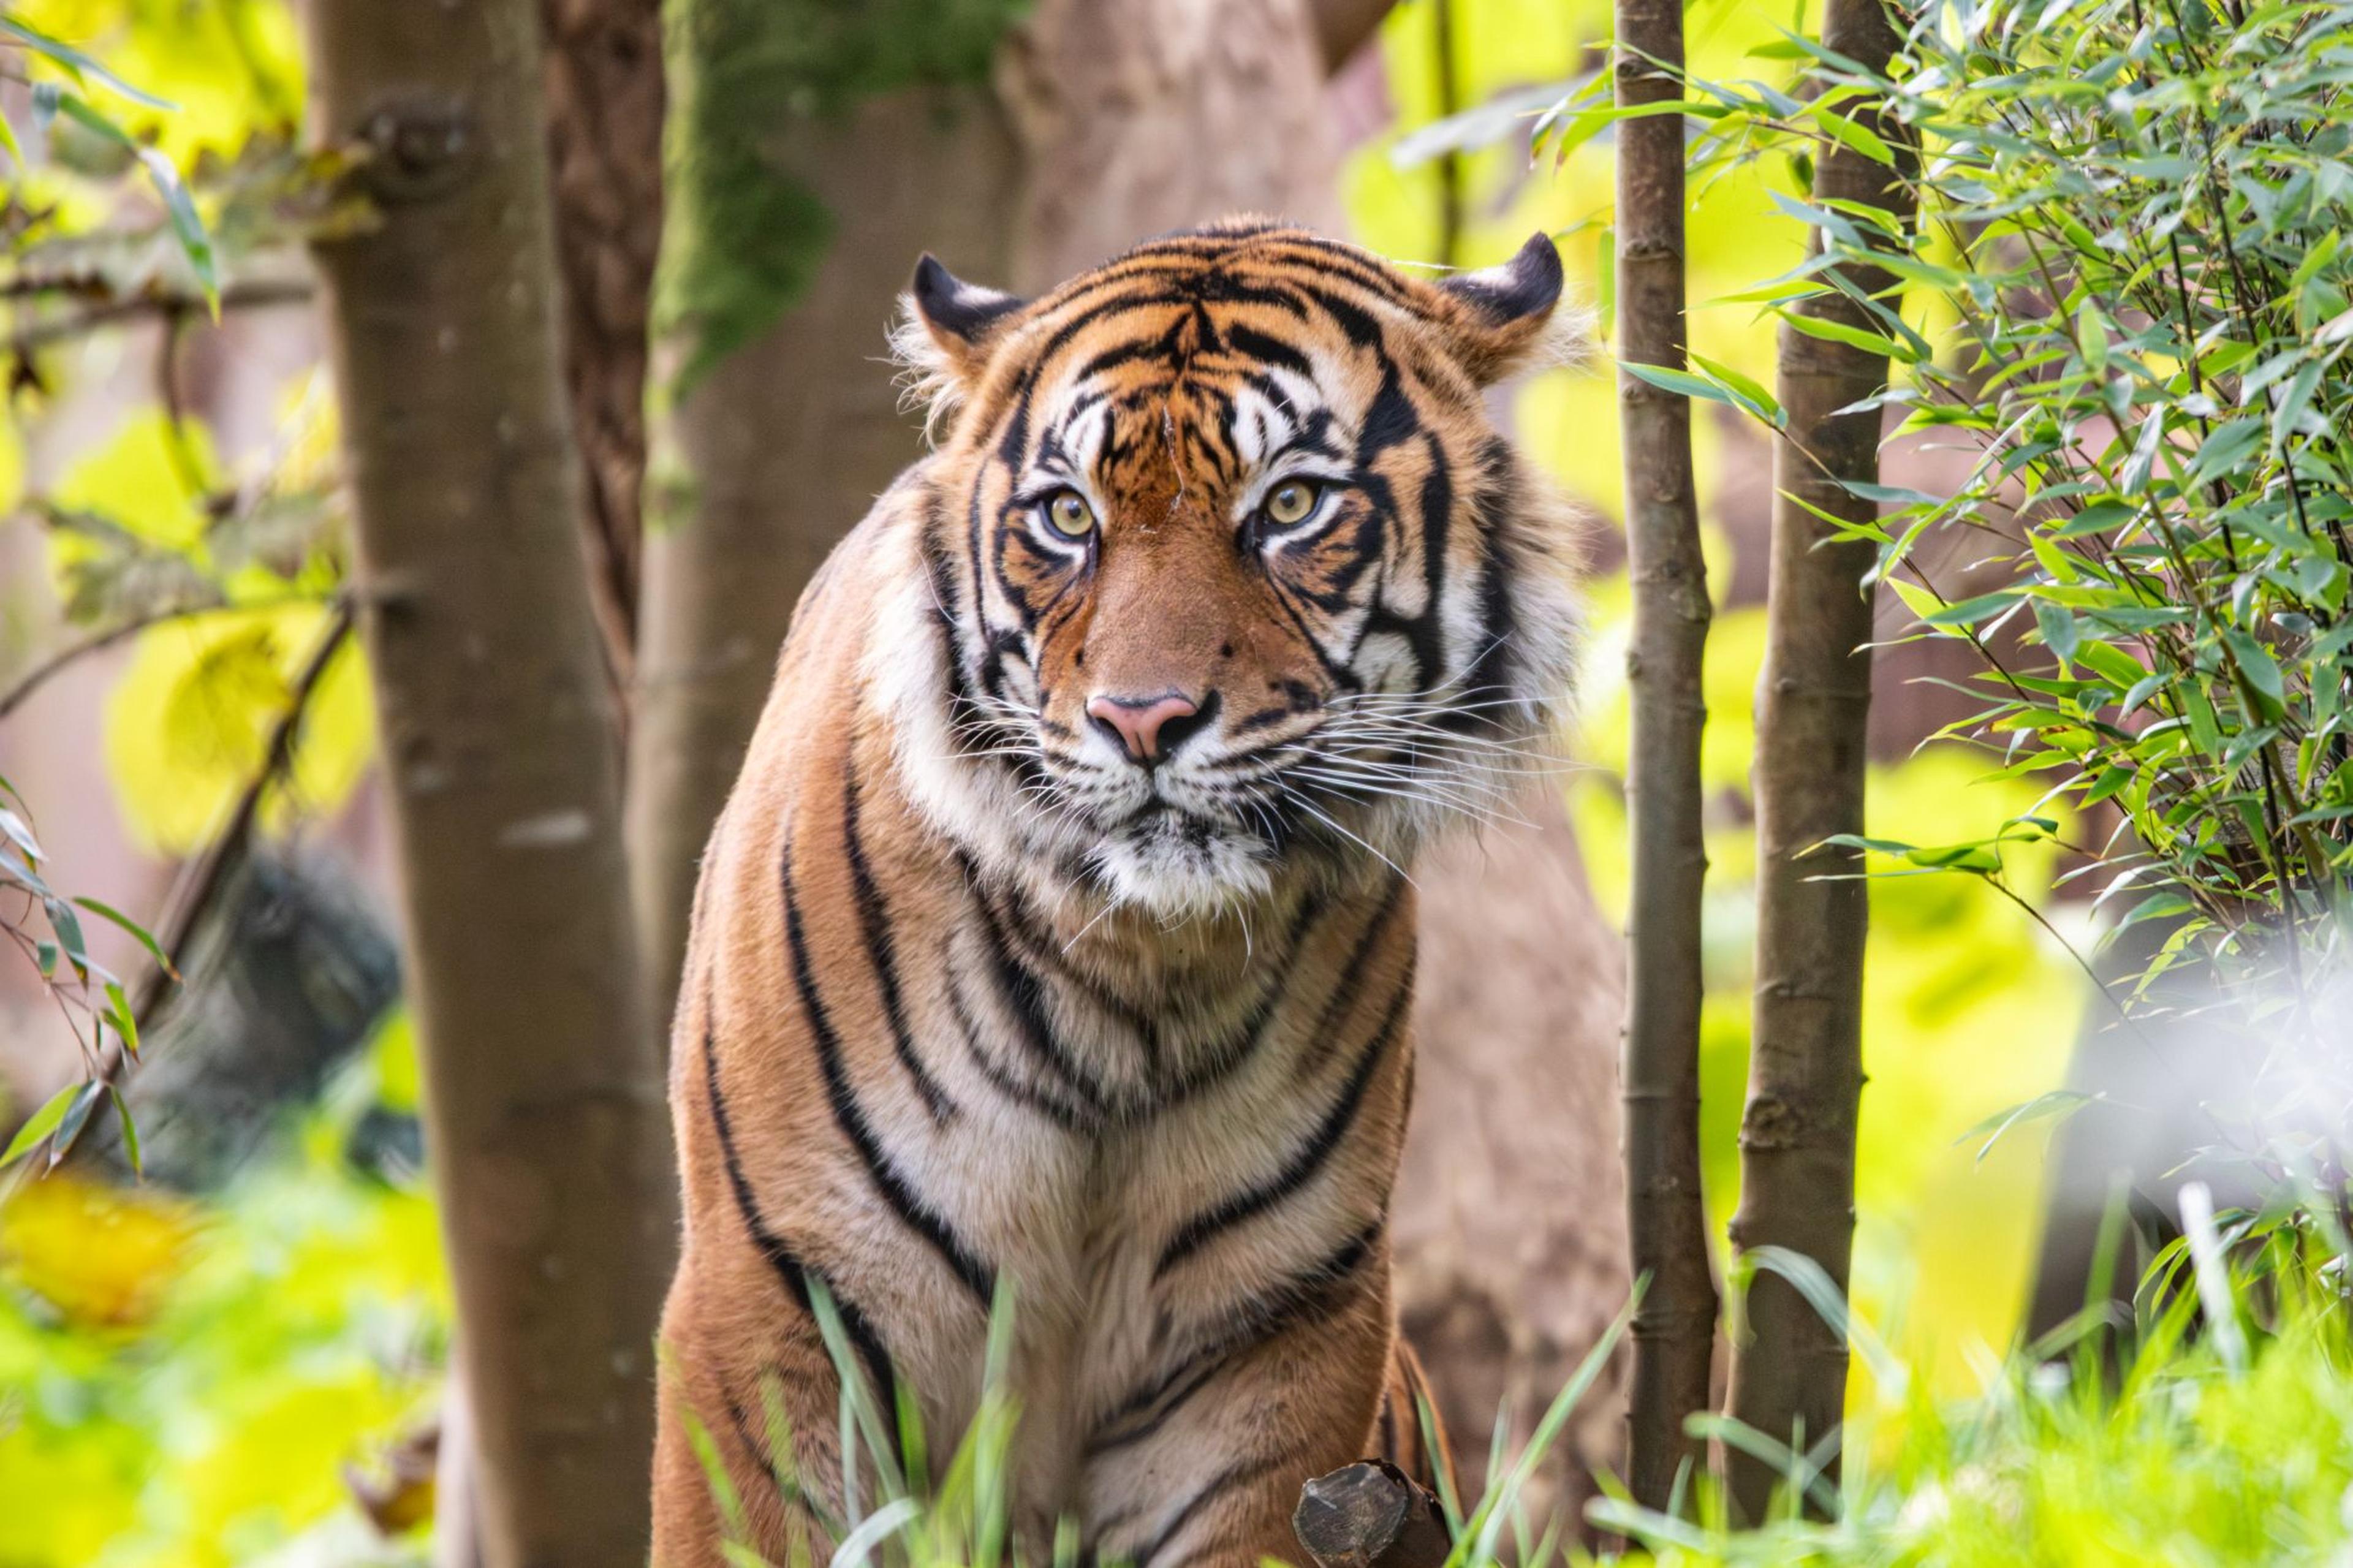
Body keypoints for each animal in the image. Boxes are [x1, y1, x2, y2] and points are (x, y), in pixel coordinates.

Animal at [649, 218, 1588, 1568]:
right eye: (1066, 515)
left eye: (1290, 505)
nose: (1143, 720)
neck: (1137, 964)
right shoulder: (778, 1291)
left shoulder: (1272, 1334)